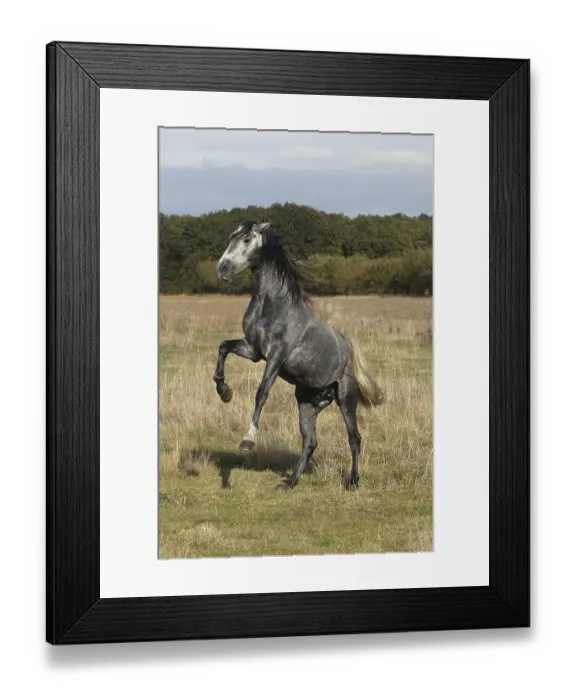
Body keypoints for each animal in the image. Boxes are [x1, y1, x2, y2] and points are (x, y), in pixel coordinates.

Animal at [213, 220, 384, 491]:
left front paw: (248, 441)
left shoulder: (276, 356)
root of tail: (350, 356)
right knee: (310, 442)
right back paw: (290, 482)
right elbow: (223, 347)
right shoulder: (254, 351)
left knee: (354, 439)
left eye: (247, 239)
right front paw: (224, 392)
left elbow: (262, 393)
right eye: (232, 237)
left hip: (347, 401)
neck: (273, 305)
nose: (223, 268)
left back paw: (353, 482)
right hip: (306, 404)